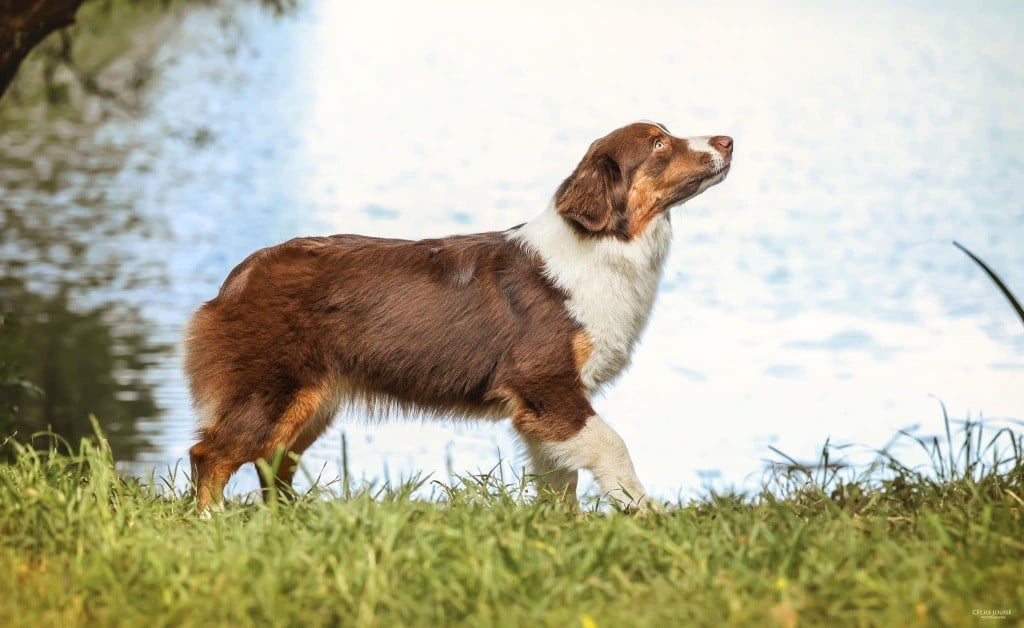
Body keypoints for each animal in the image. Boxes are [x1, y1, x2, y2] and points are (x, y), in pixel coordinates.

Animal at [182, 121, 729, 510]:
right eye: (659, 143)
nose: (728, 140)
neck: (603, 245)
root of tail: (239, 277)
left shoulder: (540, 409)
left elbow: (559, 479)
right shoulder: (546, 382)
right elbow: (612, 447)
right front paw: (645, 516)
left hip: (310, 403)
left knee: (273, 463)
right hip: (270, 390)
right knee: (211, 454)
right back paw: (213, 523)